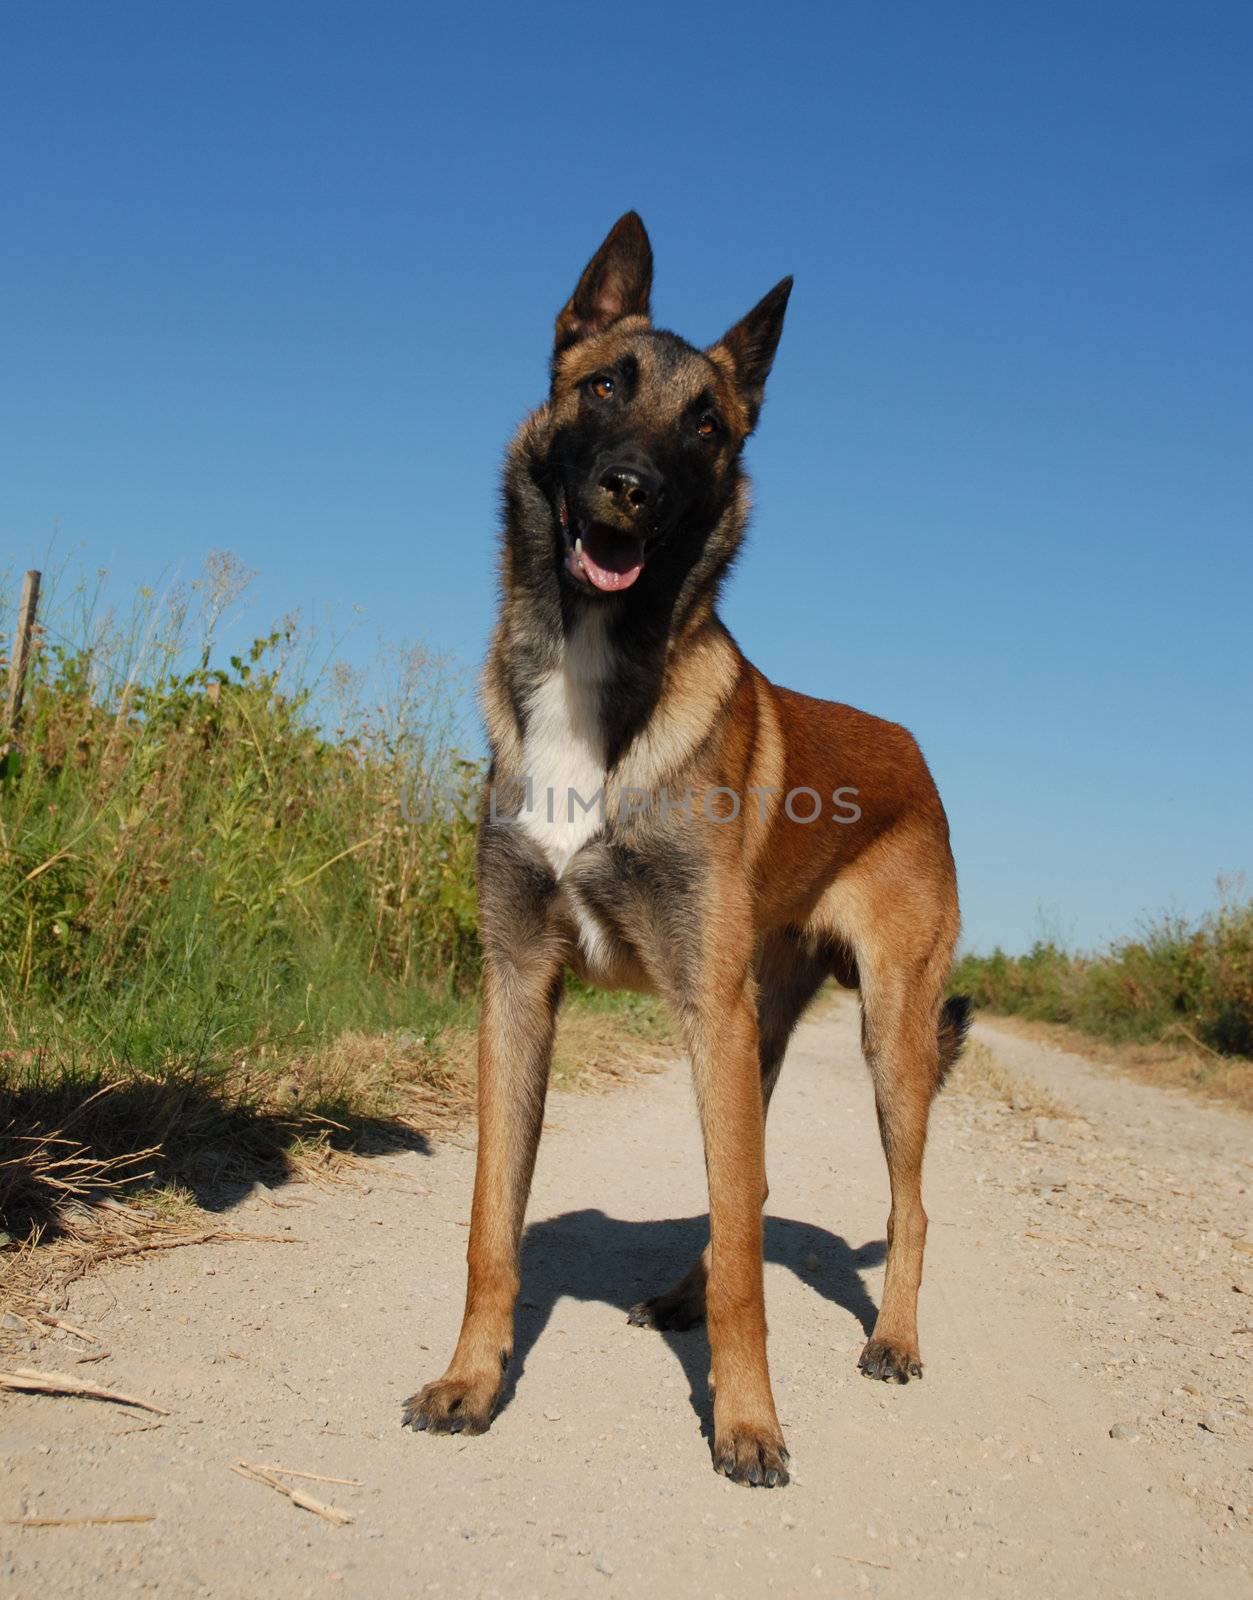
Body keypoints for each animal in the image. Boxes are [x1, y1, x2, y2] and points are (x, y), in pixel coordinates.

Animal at [401, 212, 972, 1484]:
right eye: (604, 385)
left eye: (705, 426)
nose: (632, 487)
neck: (595, 672)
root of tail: (912, 749)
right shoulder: (517, 988)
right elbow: (487, 1222)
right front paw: (470, 1380)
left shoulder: (704, 1011)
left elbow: (747, 1273)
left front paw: (748, 1420)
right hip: (757, 1031)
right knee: (740, 1203)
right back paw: (677, 1291)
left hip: (885, 1035)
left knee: (902, 1204)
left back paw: (899, 1339)